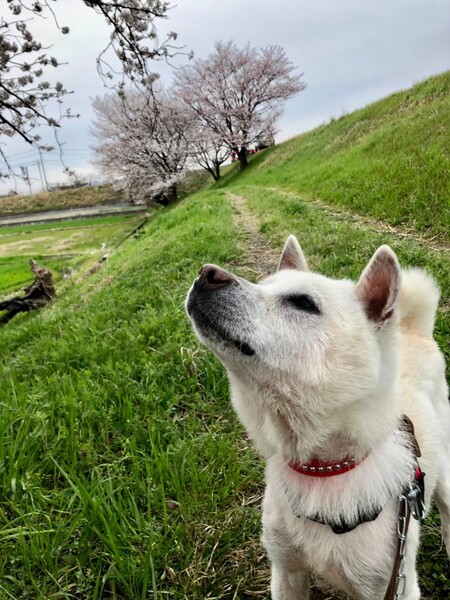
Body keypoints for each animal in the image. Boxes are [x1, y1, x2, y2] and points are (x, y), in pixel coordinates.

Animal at [186, 235, 450, 599]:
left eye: (304, 303)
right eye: (263, 283)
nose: (206, 273)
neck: (322, 470)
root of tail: (415, 331)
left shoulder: (395, 586)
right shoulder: (286, 572)